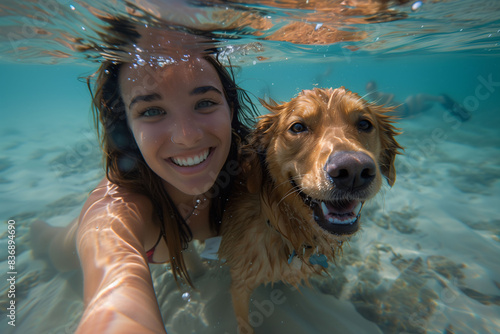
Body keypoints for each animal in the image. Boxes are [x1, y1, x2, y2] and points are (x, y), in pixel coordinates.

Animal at [220, 87, 402, 334]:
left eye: (365, 124)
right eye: (297, 127)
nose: (353, 170)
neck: (284, 226)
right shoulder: (240, 282)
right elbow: (245, 324)